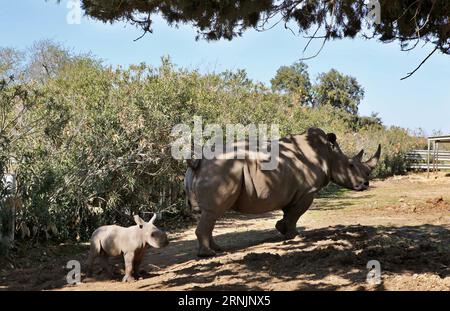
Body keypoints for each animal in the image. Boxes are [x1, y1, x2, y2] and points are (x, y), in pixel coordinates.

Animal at [185, 128, 382, 258]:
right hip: (220, 172)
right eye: (351, 165)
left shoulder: (292, 191)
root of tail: (198, 163)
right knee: (213, 212)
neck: (329, 155)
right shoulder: (307, 192)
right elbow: (296, 213)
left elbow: (290, 213)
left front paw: (283, 230)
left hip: (212, 172)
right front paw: (295, 236)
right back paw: (209, 254)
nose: (366, 184)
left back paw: (217, 249)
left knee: (207, 214)